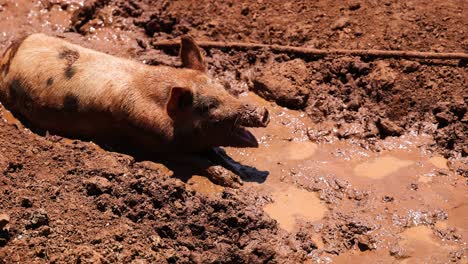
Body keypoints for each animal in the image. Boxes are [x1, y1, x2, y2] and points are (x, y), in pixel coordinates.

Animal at [0, 33, 268, 188]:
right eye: (209, 106)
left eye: (222, 87)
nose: (263, 112)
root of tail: (10, 50)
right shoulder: (153, 143)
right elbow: (197, 159)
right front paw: (234, 183)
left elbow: (217, 154)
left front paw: (239, 173)